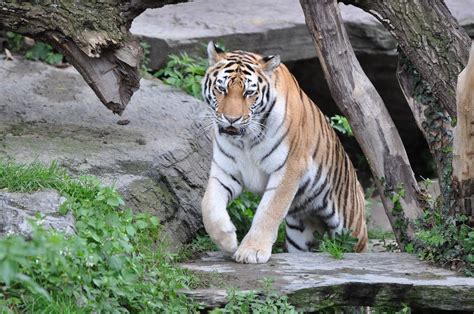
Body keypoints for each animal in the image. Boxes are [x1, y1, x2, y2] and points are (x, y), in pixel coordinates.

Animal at [200, 41, 366, 262]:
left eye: (249, 93)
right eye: (221, 89)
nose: (231, 119)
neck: (245, 140)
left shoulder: (289, 168)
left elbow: (269, 210)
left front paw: (252, 251)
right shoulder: (225, 171)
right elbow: (208, 205)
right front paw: (227, 240)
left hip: (350, 230)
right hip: (300, 235)